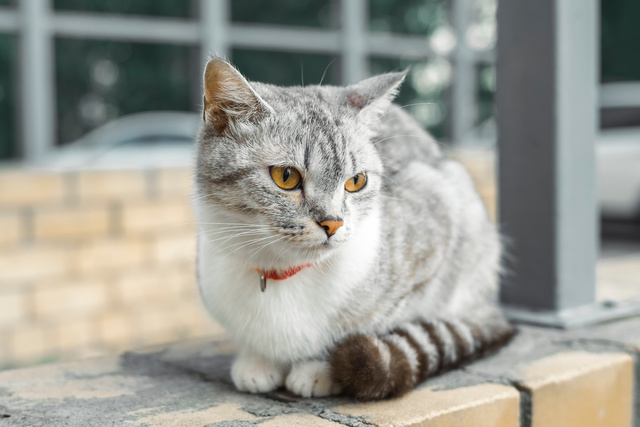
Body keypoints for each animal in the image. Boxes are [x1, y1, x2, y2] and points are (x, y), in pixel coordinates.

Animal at [195, 56, 516, 402]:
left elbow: (371, 323)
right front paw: (257, 362)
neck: (282, 271)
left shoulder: (437, 221)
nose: (333, 222)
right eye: (286, 177)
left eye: (356, 181)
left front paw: (319, 369)